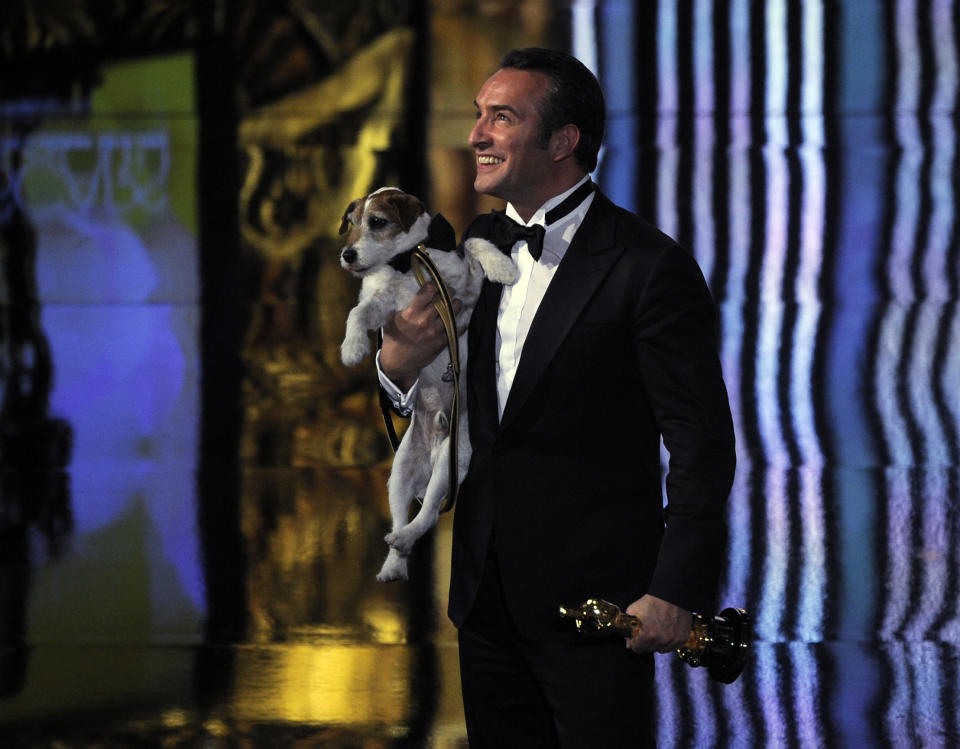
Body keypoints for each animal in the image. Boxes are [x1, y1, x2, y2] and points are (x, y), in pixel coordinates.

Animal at [338, 186, 516, 580]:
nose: (347, 255)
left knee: (430, 512)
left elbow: (474, 243)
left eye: (377, 222)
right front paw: (352, 347)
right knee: (403, 514)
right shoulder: (382, 309)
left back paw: (405, 540)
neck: (407, 262)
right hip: (399, 472)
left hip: (454, 461)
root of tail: (432, 455)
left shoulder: (465, 297)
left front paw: (503, 267)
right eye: (352, 224)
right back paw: (394, 560)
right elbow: (357, 312)